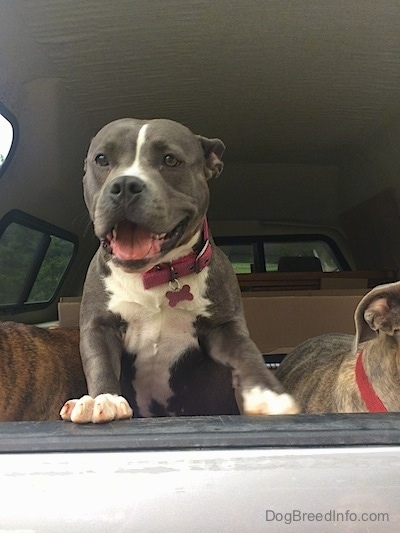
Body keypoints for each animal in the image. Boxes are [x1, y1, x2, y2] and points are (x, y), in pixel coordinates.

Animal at [59, 118, 296, 422]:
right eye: (102, 159)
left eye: (170, 160)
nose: (124, 184)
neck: (157, 274)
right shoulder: (100, 325)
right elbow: (100, 361)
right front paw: (103, 399)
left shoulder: (223, 327)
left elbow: (246, 351)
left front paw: (268, 394)